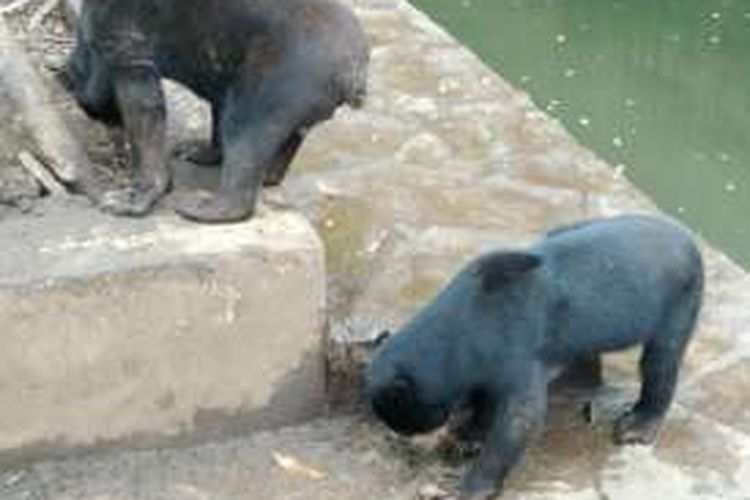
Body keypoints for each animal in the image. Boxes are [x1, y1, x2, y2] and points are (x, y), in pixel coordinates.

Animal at [64, 0, 370, 221]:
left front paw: (128, 199)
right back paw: (265, 175)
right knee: (283, 135)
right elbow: (218, 102)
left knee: (248, 131)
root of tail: (354, 71)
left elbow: (143, 107)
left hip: (285, 78)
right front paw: (197, 151)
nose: (114, 148)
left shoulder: (124, 28)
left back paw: (204, 207)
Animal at [366, 216, 704, 500]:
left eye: (405, 419)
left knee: (661, 361)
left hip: (677, 301)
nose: (401, 438)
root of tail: (689, 239)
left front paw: (465, 485)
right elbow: (488, 398)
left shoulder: (516, 341)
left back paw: (635, 427)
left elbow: (521, 416)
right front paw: (467, 436)